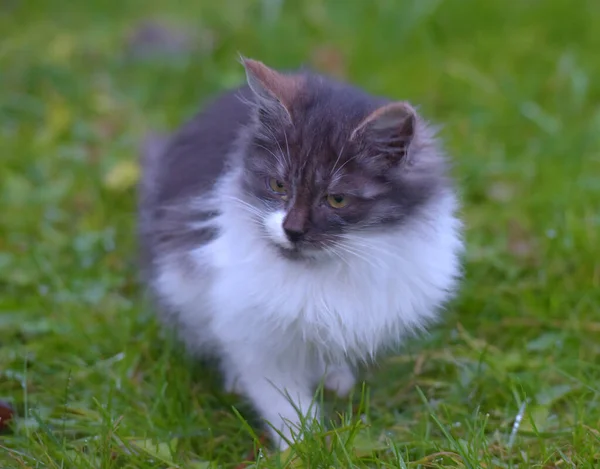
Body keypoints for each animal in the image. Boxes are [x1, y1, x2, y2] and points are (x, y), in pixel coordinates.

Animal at [137, 56, 464, 448]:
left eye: (336, 199)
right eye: (278, 185)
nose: (291, 230)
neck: (326, 268)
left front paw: (331, 385)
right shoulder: (253, 333)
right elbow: (281, 398)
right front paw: (304, 444)